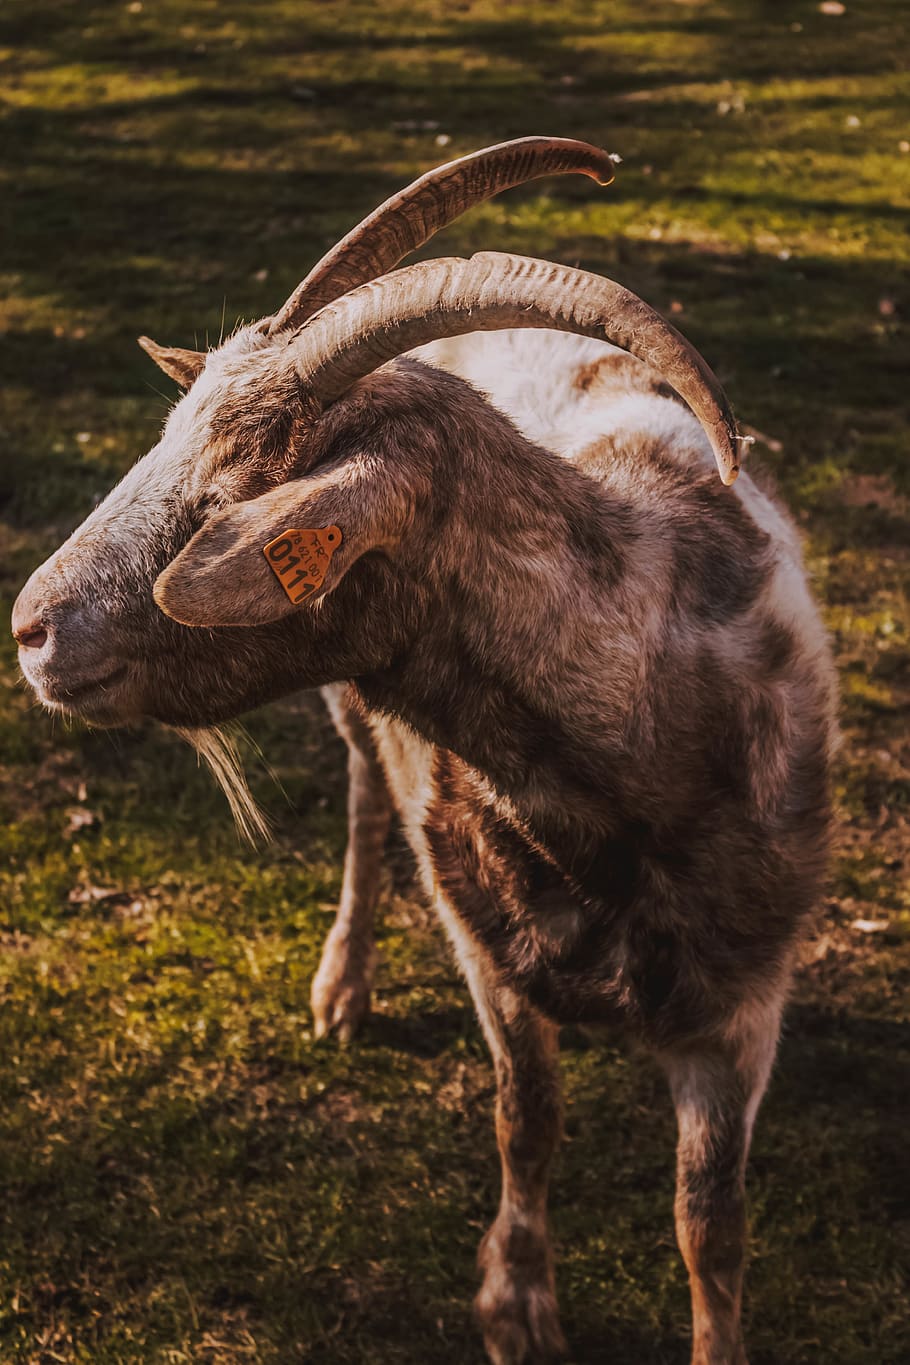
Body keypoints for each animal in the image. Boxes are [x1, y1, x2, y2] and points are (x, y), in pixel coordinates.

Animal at [12, 138, 836, 1365]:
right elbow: (525, 1116)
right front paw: (517, 1307)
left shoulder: (740, 1008)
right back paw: (341, 987)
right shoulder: (487, 947)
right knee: (363, 803)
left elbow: (710, 1224)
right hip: (360, 727)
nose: (30, 628)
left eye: (228, 498)